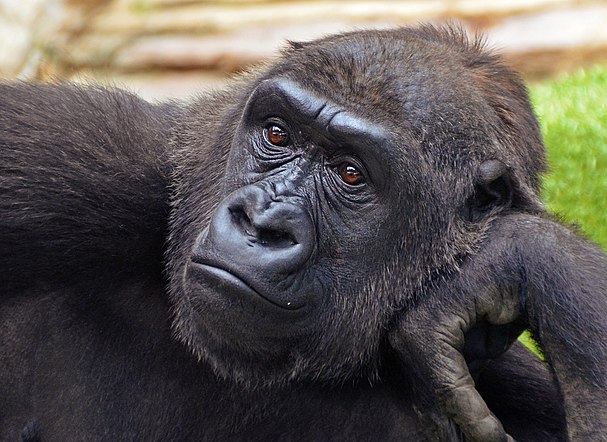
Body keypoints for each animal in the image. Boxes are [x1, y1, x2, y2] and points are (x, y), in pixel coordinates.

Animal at [0, 25, 604, 442]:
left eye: (351, 173)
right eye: (276, 134)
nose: (262, 223)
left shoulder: (508, 390)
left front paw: (520, 253)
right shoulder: (86, 151)